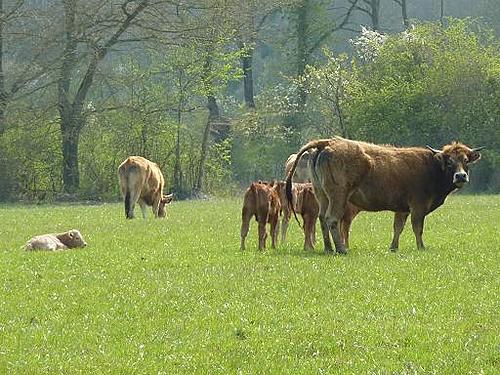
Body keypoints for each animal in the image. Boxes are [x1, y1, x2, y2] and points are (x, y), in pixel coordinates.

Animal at [288, 138, 482, 256]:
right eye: (449, 161)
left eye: (466, 160)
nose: (461, 176)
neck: (432, 167)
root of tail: (328, 142)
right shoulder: (417, 207)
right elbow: (417, 228)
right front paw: (421, 247)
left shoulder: (402, 209)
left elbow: (398, 227)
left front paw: (393, 248)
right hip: (338, 196)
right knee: (331, 219)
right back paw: (341, 249)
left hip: (322, 195)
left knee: (321, 218)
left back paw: (328, 249)